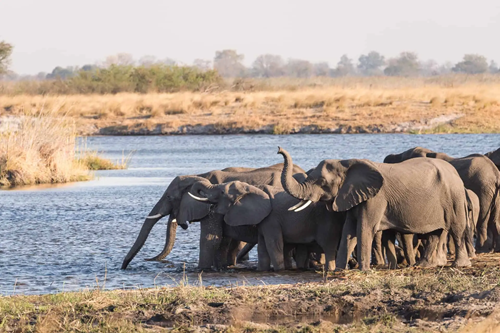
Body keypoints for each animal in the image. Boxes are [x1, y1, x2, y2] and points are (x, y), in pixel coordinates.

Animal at [122, 163, 306, 270]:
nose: (124, 267)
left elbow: (211, 238)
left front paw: (202, 270)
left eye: (169, 197)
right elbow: (224, 240)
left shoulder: (212, 207)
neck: (198, 175)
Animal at [188, 179, 344, 270]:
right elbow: (263, 247)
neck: (252, 188)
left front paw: (279, 271)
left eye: (221, 192)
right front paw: (262, 270)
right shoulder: (264, 221)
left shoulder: (271, 219)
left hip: (326, 221)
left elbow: (273, 245)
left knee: (328, 245)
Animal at [280, 146, 470, 270]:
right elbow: (349, 230)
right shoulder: (353, 196)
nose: (278, 149)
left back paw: (460, 265)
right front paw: (340, 270)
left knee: (456, 229)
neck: (347, 163)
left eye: (322, 182)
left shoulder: (375, 198)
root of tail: (455, 173)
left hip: (454, 197)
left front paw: (364, 271)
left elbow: (364, 228)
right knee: (435, 233)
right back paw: (424, 265)